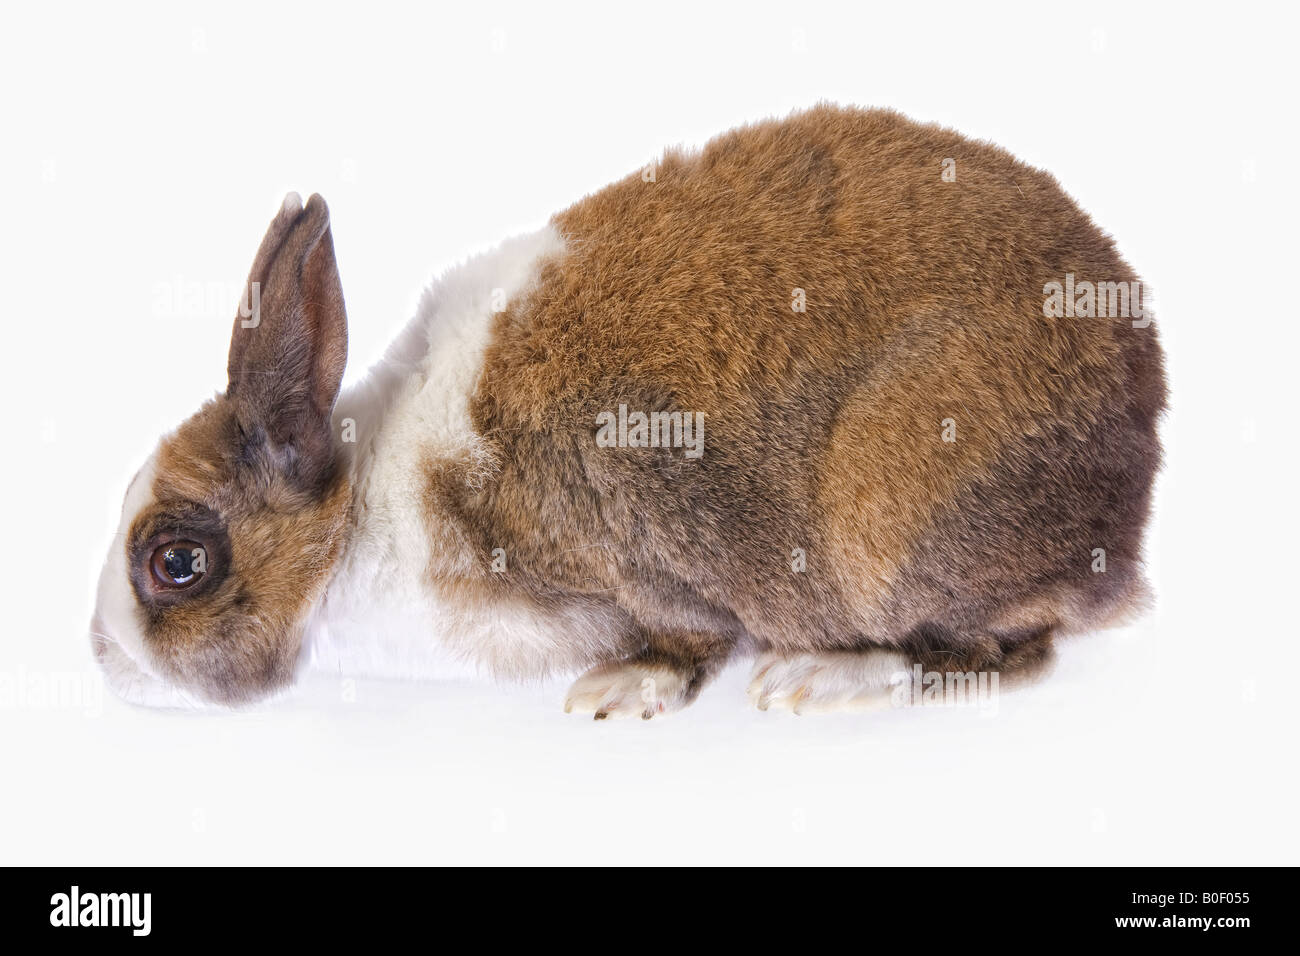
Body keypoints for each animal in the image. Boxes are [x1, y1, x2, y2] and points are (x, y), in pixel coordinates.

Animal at [90, 104, 1166, 716]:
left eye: (176, 563)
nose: (104, 662)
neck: (356, 517)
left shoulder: (622, 549)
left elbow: (691, 636)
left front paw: (621, 691)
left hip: (889, 533)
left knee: (1008, 652)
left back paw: (825, 679)